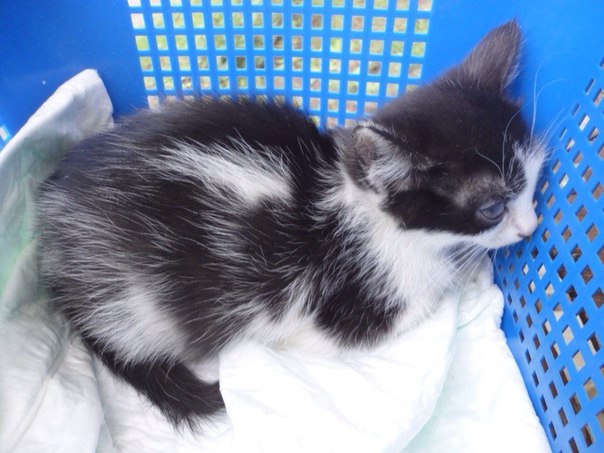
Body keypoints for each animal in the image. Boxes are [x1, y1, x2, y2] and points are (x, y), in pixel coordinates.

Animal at [37, 20, 545, 429]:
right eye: (492, 208)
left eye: (535, 181)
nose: (532, 227)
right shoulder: (338, 316)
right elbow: (423, 299)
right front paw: (464, 270)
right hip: (138, 305)